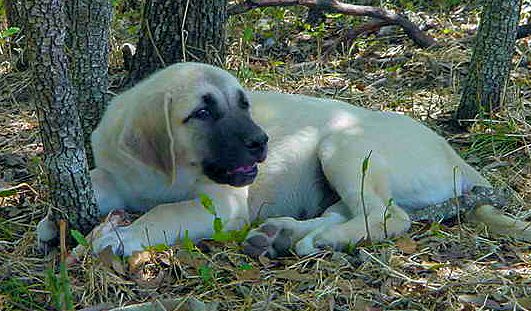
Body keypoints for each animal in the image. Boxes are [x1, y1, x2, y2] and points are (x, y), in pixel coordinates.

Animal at [38, 62, 531, 258]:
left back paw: (319, 240)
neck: (163, 170)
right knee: (350, 210)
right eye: (203, 113)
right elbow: (97, 180)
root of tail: (458, 158)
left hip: (344, 146)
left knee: (389, 218)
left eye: (244, 104)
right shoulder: (114, 171)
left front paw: (122, 236)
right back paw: (283, 234)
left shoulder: (221, 203)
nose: (262, 141)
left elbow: (166, 212)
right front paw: (51, 220)